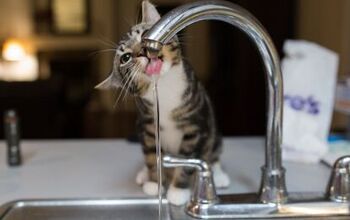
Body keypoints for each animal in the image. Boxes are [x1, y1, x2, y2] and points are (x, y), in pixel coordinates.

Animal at [95, 0, 230, 206]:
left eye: (144, 35)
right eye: (126, 58)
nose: (142, 52)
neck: (164, 88)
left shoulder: (195, 124)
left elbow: (188, 159)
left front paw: (178, 191)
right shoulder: (147, 125)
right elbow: (152, 155)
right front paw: (153, 183)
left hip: (212, 127)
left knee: (213, 151)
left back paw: (219, 174)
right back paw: (143, 174)